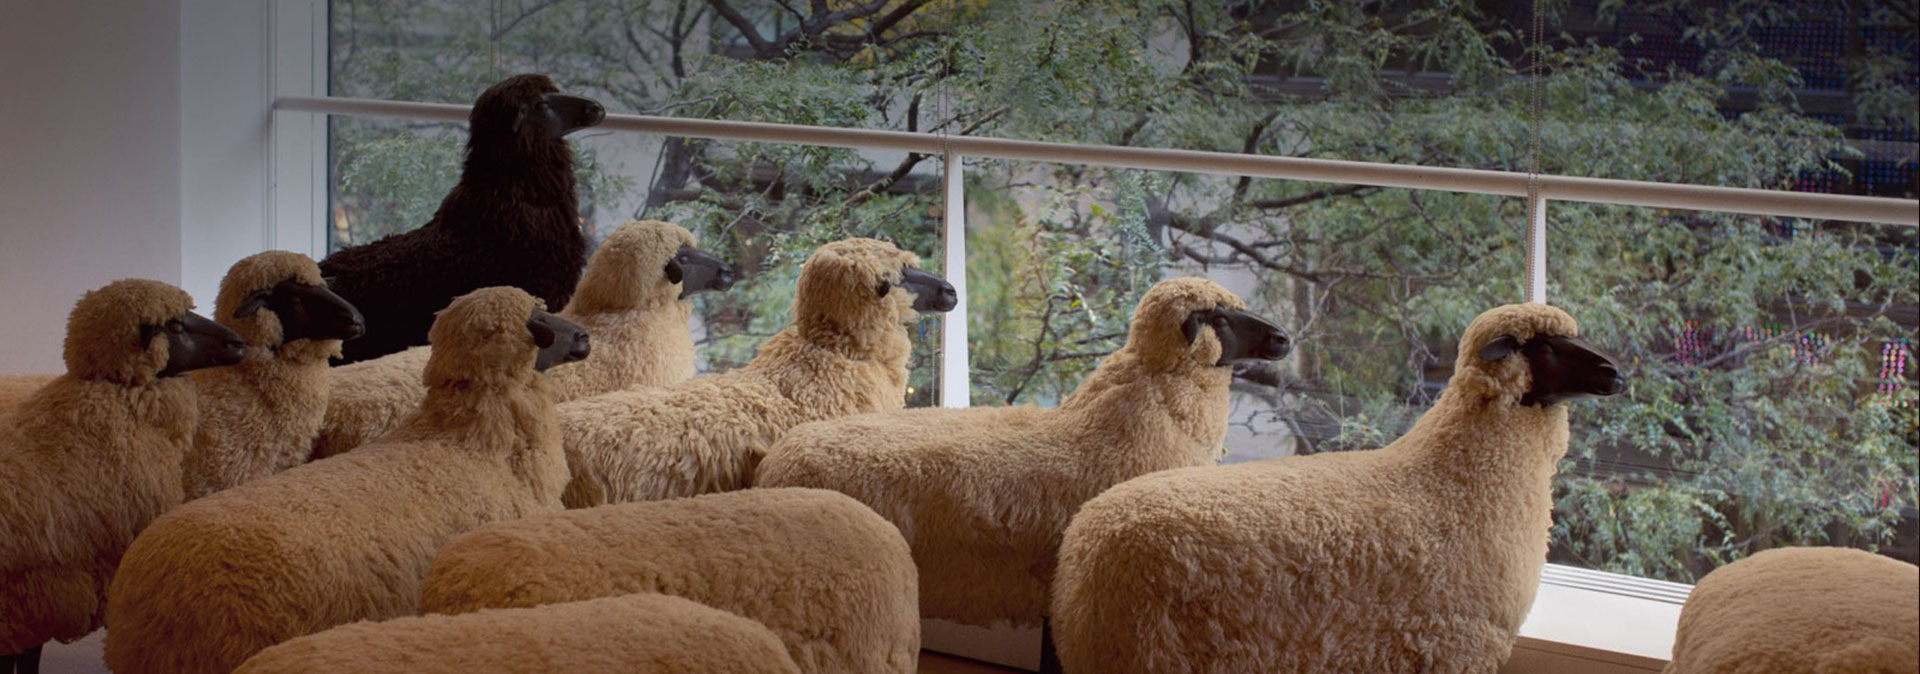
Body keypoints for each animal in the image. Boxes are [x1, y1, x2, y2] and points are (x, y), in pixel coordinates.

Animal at [1049, 302, 1626, 674]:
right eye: (1544, 345)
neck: (1457, 472)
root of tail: (1087, 539)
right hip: (1151, 650)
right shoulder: (1458, 643)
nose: (1616, 373)